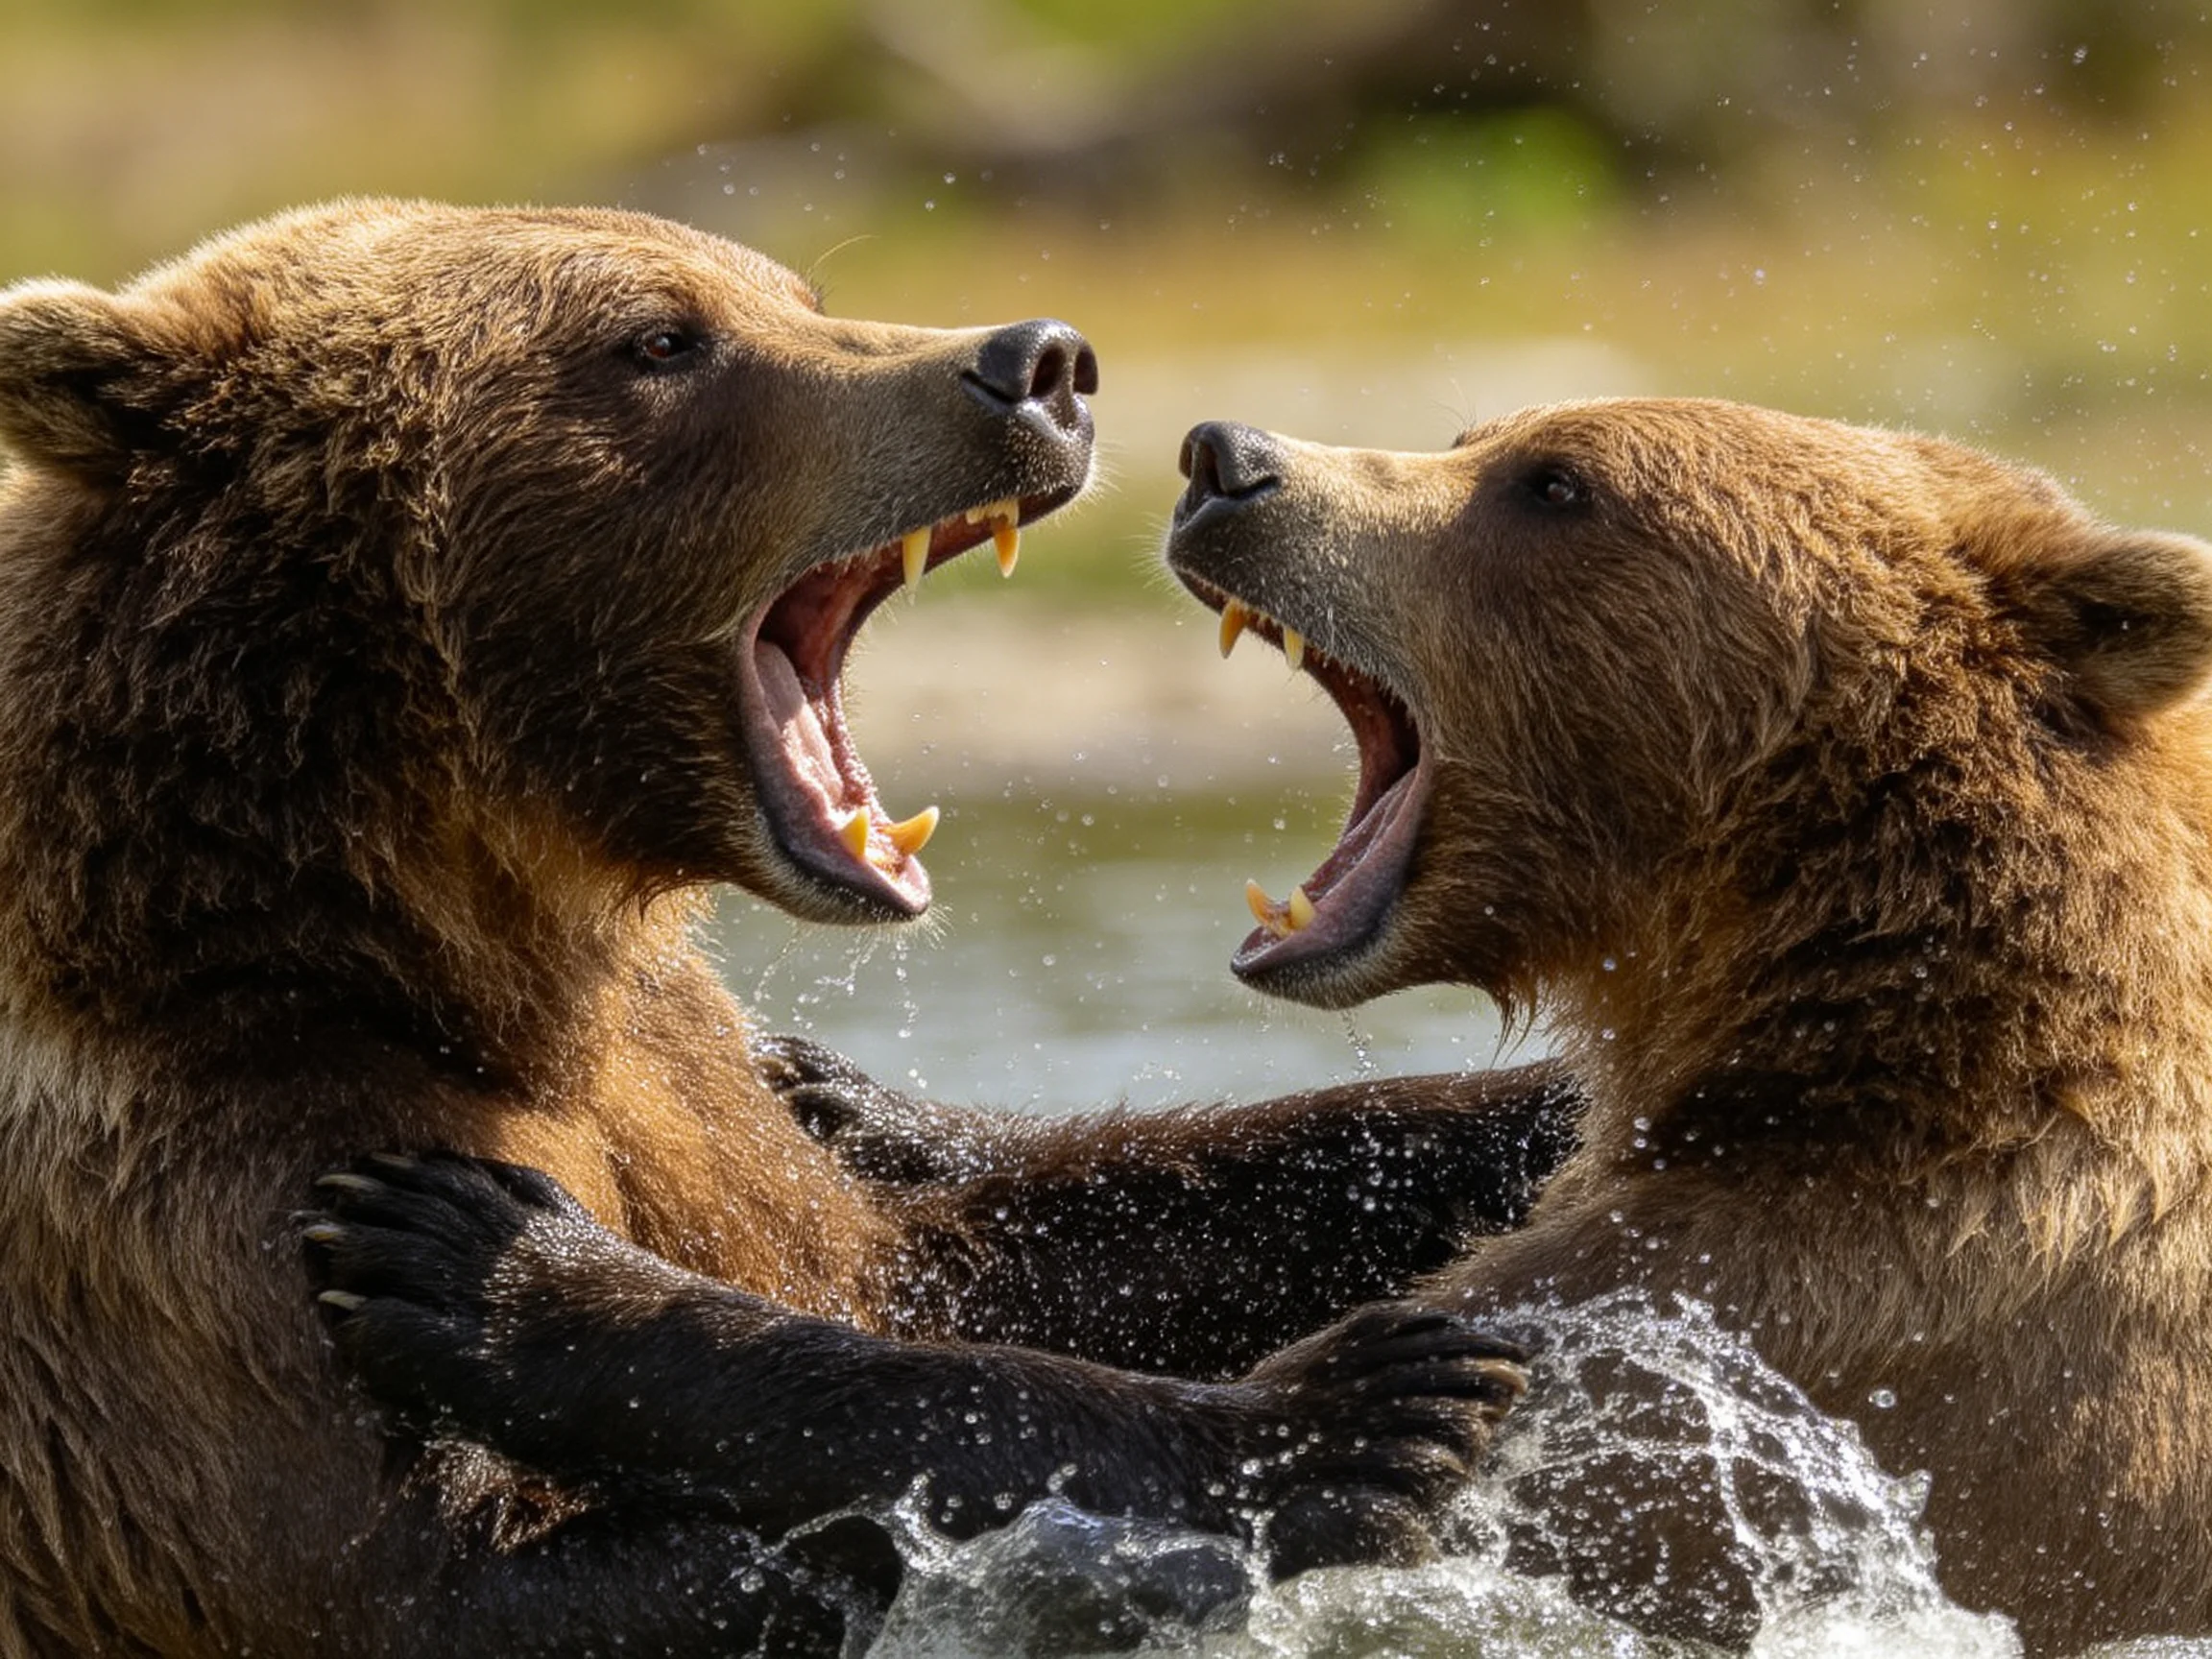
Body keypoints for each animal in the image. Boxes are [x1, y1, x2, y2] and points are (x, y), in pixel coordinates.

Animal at [0, 200, 1575, 1658]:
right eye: (659, 339)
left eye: (793, 297)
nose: (1040, 362)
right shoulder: (198, 1189)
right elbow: (451, 1570)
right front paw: (1345, 1421)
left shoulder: (671, 1075)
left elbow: (978, 1254)